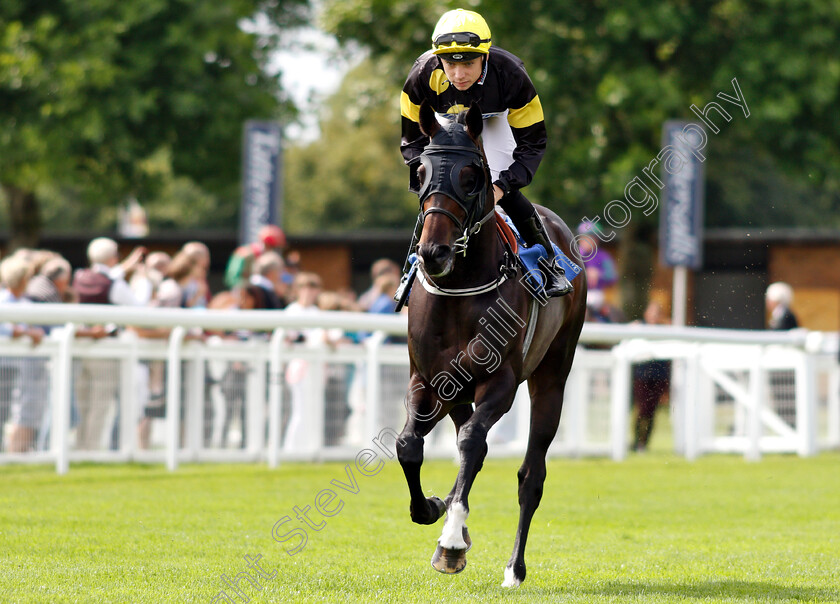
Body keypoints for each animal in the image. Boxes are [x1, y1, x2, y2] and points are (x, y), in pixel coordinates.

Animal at [398, 101, 588, 588]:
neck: (459, 288)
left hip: (552, 376)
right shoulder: (428, 380)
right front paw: (433, 509)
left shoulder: (500, 382)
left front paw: (450, 542)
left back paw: (513, 568)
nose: (434, 253)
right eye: (420, 172)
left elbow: (471, 444)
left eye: (471, 175)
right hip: (456, 391)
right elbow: (409, 445)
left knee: (530, 474)